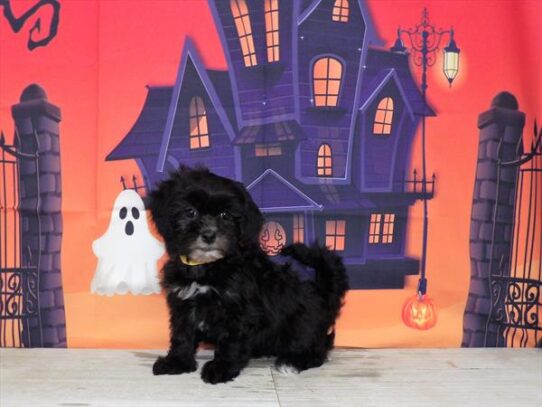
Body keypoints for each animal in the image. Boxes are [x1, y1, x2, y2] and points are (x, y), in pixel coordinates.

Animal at [150, 167, 348, 384]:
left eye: (225, 215)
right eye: (190, 212)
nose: (209, 235)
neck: (207, 266)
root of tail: (322, 293)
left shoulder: (239, 310)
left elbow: (230, 340)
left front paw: (221, 368)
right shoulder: (183, 303)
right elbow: (182, 334)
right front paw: (177, 362)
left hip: (303, 323)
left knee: (317, 350)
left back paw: (292, 362)